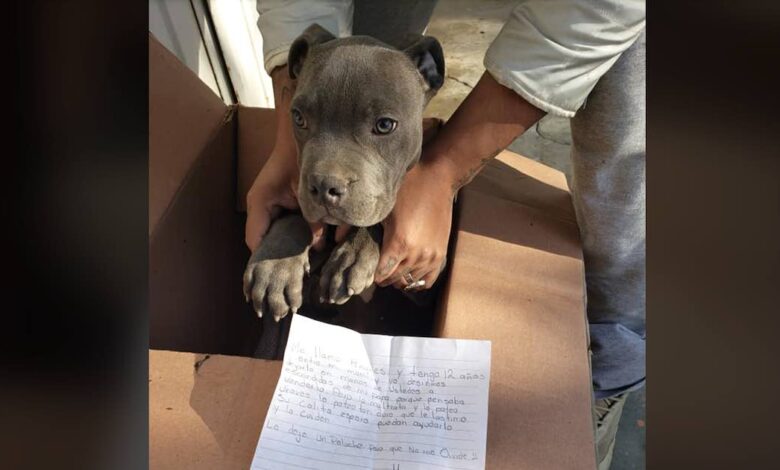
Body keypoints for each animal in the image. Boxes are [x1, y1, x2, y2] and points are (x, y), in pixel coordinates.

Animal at [242, 23, 444, 352]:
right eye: (298, 117)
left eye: (385, 125)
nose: (324, 185)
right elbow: (292, 214)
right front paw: (275, 265)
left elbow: (375, 217)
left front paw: (354, 254)